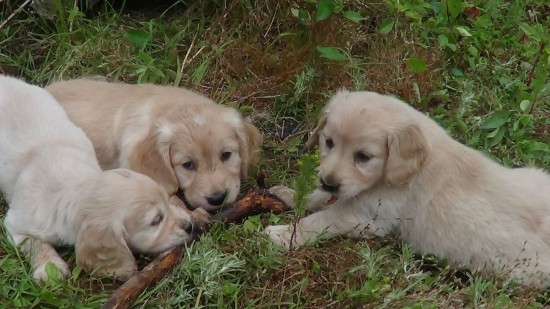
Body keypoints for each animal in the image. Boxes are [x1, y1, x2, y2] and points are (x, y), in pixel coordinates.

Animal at [0, 76, 197, 282]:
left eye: (167, 201)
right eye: (156, 221)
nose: (190, 226)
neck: (72, 186)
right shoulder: (16, 223)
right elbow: (34, 243)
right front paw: (49, 267)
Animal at [266, 90, 550, 286]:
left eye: (363, 157)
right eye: (329, 142)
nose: (328, 181)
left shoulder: (365, 215)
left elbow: (319, 220)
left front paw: (282, 234)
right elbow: (318, 198)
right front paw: (291, 196)